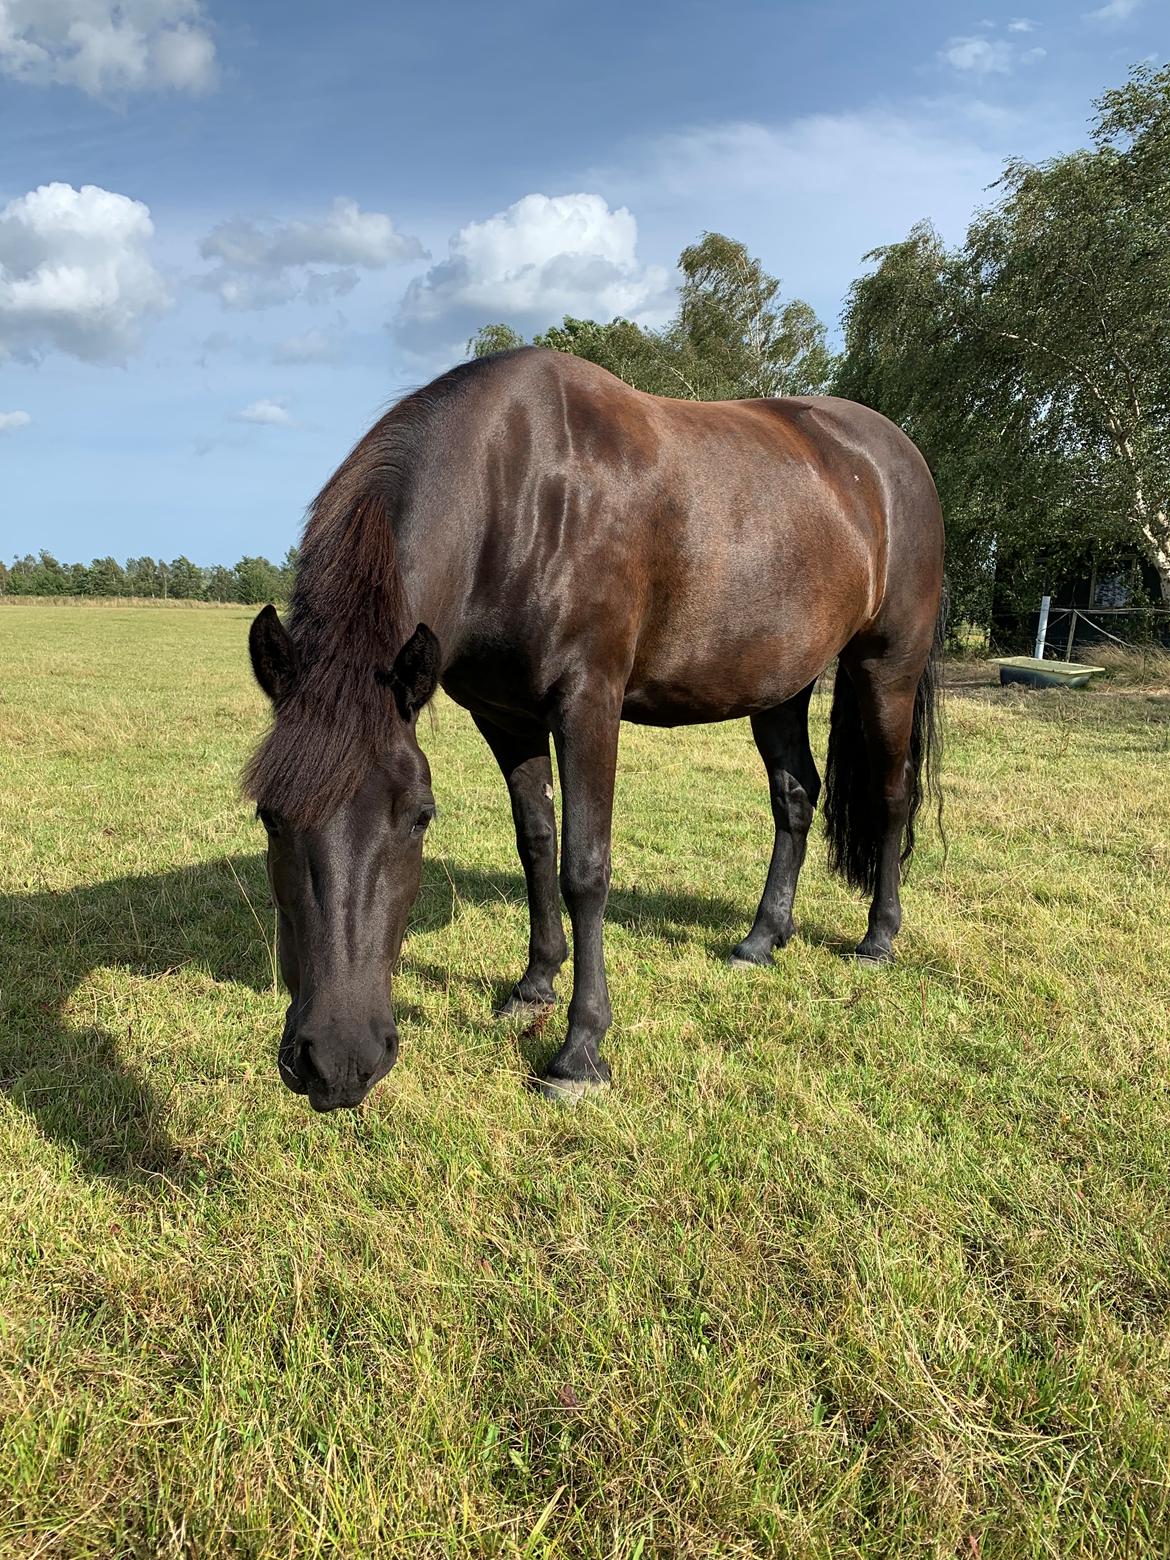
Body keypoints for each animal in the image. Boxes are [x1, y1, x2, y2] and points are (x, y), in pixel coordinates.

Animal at [244, 349, 942, 1116]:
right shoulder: (506, 716)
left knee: (892, 796)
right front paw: (533, 986)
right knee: (794, 798)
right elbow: (536, 845)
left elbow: (584, 867)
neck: (517, 495)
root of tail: (895, 455)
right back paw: (762, 938)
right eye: (270, 815)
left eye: (420, 817)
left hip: (887, 668)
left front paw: (580, 1052)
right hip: (779, 684)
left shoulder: (588, 704)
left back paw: (878, 937)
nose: (336, 1064)